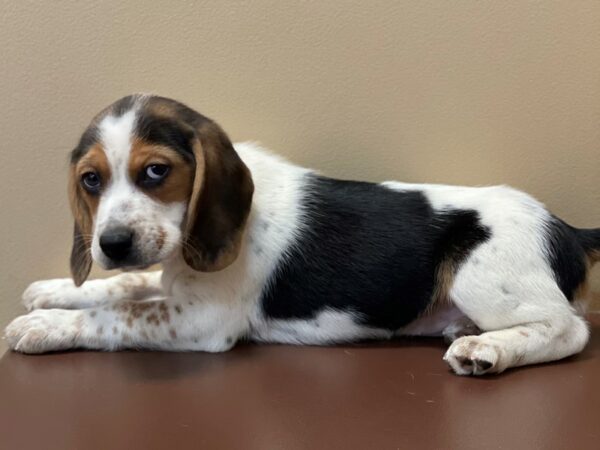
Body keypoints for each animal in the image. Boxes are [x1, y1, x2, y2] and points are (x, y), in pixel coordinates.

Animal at [3, 93, 596, 374]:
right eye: (91, 180)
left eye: (155, 171)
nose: (112, 244)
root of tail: (566, 228)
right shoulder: (174, 282)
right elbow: (125, 286)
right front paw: (54, 291)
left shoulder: (202, 319)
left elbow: (119, 313)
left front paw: (44, 326)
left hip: (483, 275)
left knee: (569, 330)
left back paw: (486, 349)